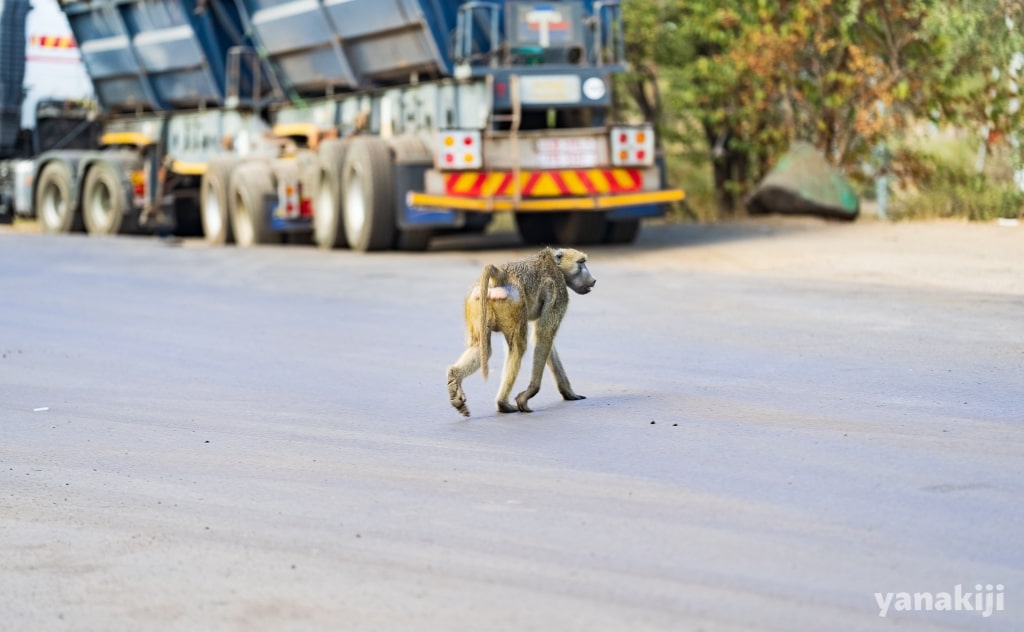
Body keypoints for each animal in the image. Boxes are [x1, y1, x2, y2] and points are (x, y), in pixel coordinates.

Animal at [446, 247, 596, 417]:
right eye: (581, 263)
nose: (593, 280)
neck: (554, 264)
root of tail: (500, 275)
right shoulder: (559, 292)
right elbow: (544, 335)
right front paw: (527, 395)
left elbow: (544, 340)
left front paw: (569, 393)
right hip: (514, 302)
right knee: (517, 348)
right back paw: (503, 404)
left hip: (476, 302)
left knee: (481, 348)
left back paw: (454, 378)